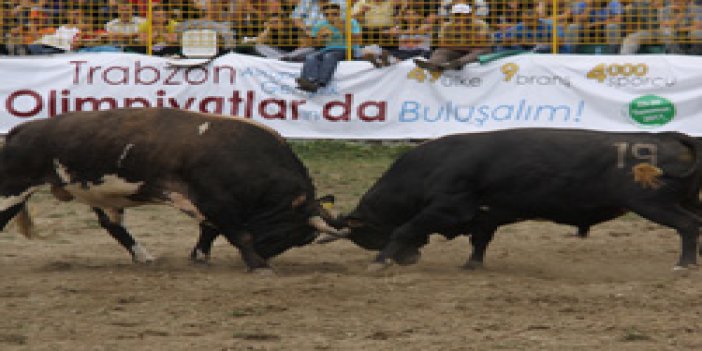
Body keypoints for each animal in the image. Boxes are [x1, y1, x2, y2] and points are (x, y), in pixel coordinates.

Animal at [0, 108, 344, 272]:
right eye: (291, 234)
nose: (267, 255)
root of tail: (22, 129)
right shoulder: (215, 200)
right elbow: (237, 233)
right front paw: (258, 265)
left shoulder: (212, 204)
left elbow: (210, 231)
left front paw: (200, 256)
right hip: (12, 189)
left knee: (113, 226)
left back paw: (143, 256)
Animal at [328, 129, 702, 270]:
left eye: (367, 235)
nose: (410, 260)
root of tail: (669, 138)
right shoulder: (486, 215)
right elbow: (480, 241)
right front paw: (472, 264)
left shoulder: (448, 207)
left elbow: (404, 228)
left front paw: (380, 261)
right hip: (685, 200)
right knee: (695, 224)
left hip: (653, 204)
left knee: (687, 226)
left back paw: (684, 264)